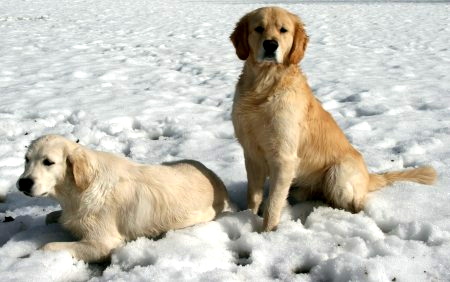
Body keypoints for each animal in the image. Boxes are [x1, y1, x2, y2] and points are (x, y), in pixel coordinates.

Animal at [16, 134, 232, 262]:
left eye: (48, 162)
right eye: (26, 159)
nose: (23, 183)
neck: (80, 190)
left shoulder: (103, 243)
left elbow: (48, 245)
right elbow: (51, 216)